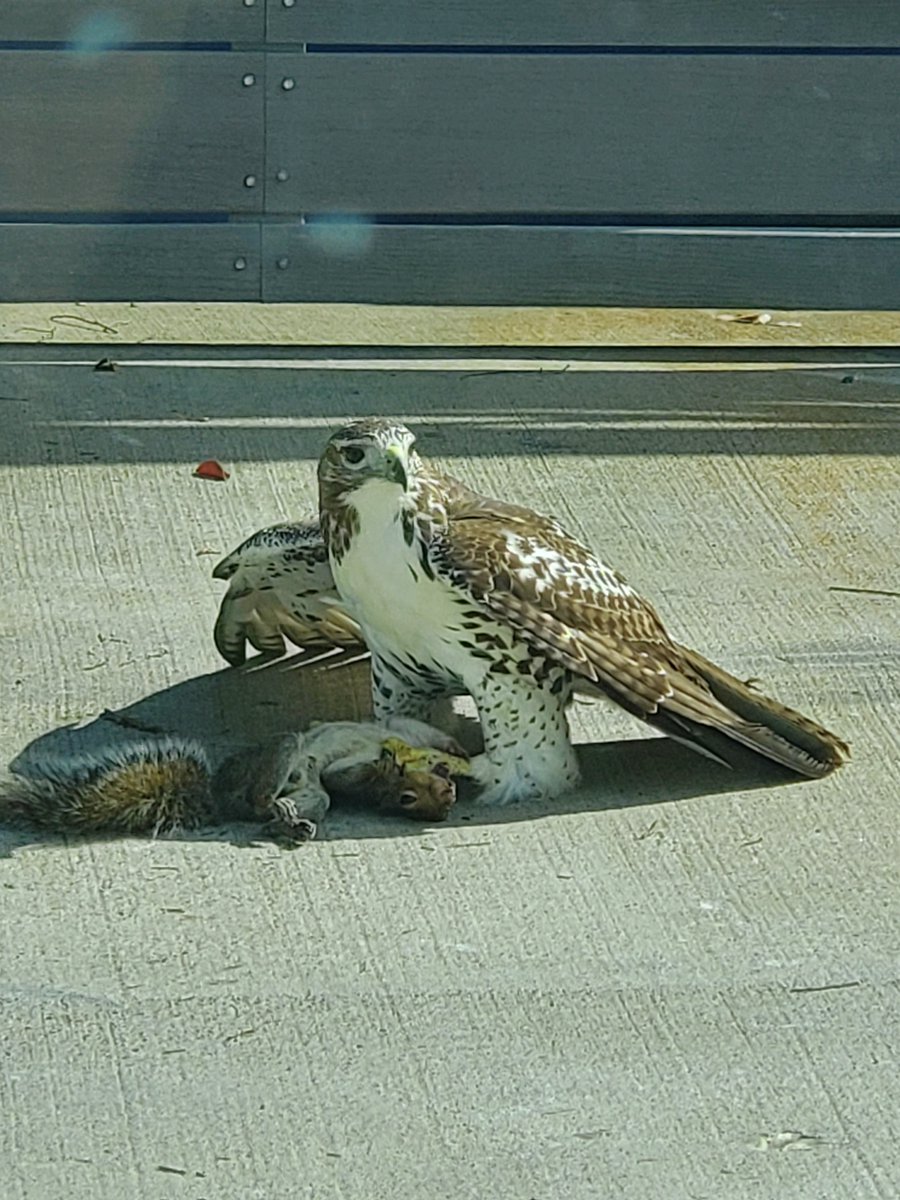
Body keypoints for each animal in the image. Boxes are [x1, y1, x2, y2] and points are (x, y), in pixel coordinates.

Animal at [1, 718, 470, 845]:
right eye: (409, 798)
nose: (449, 793)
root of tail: (215, 795)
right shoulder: (401, 733)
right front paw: (455, 750)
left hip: (311, 793)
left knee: (283, 807)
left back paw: (287, 823)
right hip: (284, 748)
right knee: (266, 790)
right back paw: (278, 812)